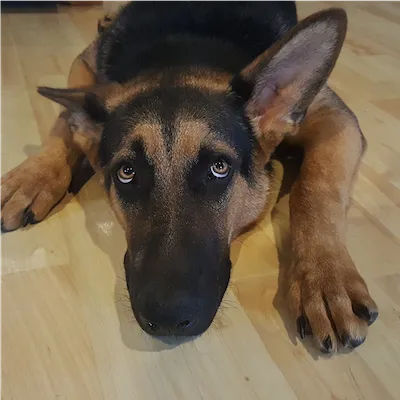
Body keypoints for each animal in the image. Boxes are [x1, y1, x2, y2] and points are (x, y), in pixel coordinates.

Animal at [0, 0, 378, 352]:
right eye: (127, 172)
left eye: (219, 168)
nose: (168, 319)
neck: (180, 53)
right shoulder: (84, 67)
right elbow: (65, 123)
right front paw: (31, 175)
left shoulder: (333, 117)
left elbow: (315, 187)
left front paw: (325, 278)